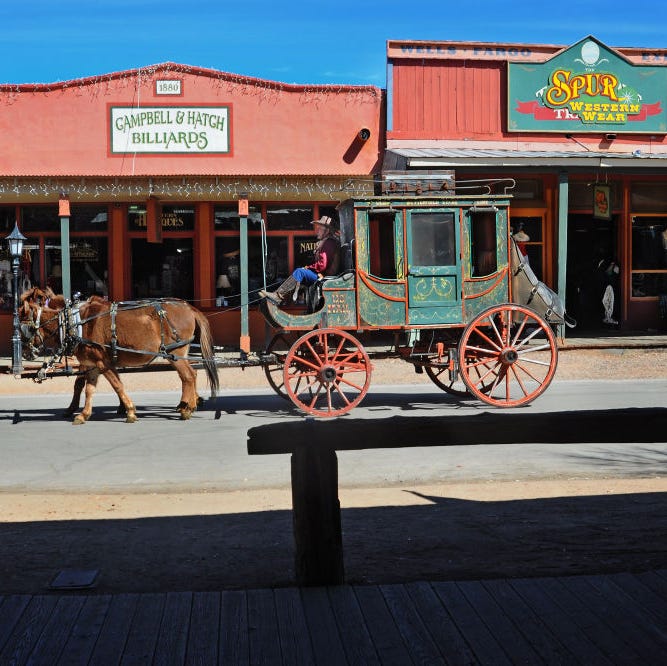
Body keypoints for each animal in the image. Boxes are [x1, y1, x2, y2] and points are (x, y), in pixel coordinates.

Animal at [19, 286, 219, 422]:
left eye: (25, 327)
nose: (26, 353)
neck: (76, 321)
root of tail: (189, 307)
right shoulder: (92, 363)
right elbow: (88, 387)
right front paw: (83, 413)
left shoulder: (102, 362)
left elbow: (116, 385)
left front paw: (129, 410)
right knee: (191, 375)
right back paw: (189, 404)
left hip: (175, 352)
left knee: (188, 376)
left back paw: (186, 408)